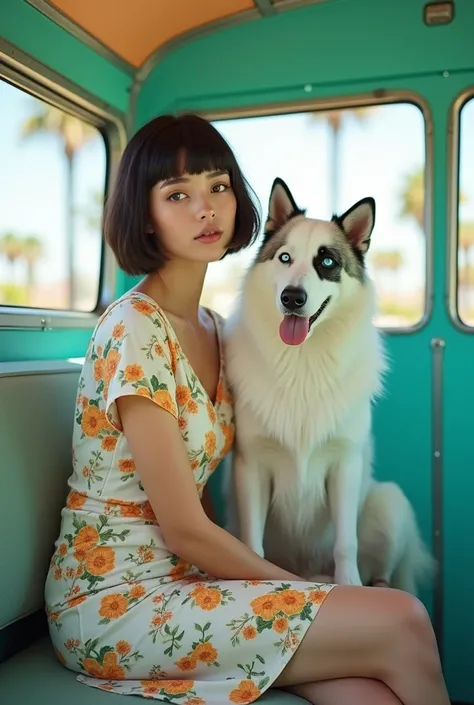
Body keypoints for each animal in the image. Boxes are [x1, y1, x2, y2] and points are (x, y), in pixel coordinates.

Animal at [222, 177, 434, 592]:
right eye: (284, 258)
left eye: (328, 262)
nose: (292, 297)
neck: (303, 361)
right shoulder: (252, 466)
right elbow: (253, 544)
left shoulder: (344, 465)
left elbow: (345, 543)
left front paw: (349, 586)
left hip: (389, 501)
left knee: (382, 571)